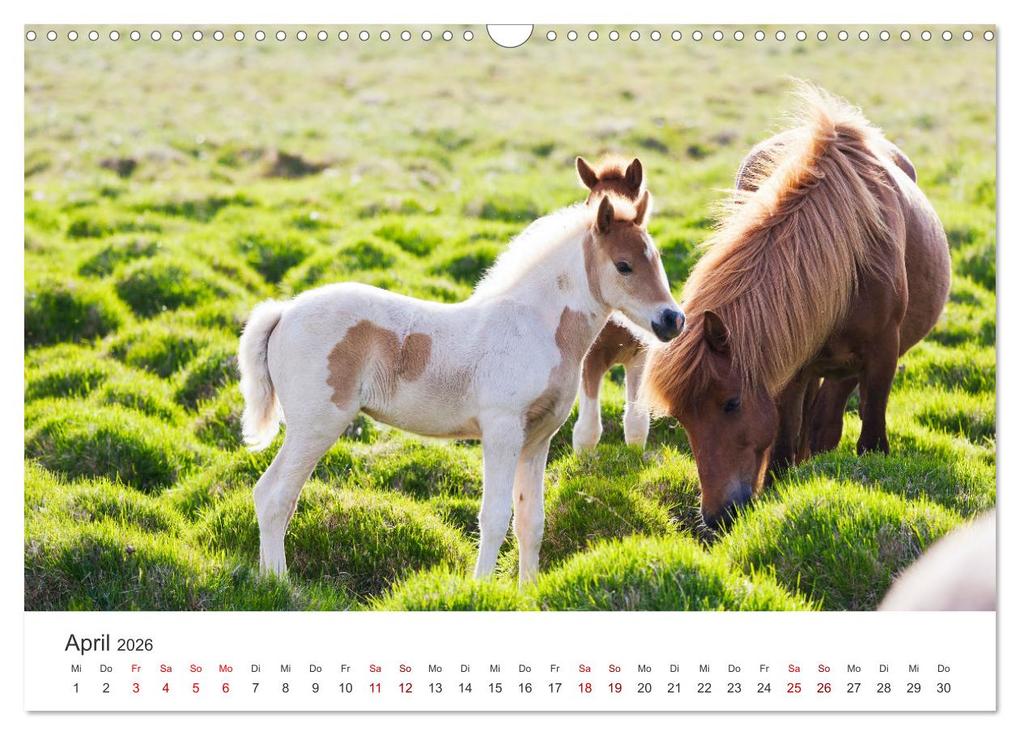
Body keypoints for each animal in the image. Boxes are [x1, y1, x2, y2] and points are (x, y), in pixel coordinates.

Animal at [238, 193, 684, 585]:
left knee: (267, 495)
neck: (537, 327)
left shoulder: (537, 439)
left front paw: (528, 591)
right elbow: (495, 516)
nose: (672, 320)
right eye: (624, 265)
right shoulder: (501, 431)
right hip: (316, 426)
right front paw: (482, 588)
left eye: (657, 258)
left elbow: (531, 521)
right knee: (276, 497)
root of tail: (284, 312)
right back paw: (281, 584)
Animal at [643, 85, 951, 529]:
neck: (849, 258)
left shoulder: (881, 356)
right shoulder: (791, 367)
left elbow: (869, 438)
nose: (716, 517)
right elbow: (784, 448)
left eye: (731, 403)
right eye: (683, 419)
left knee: (827, 424)